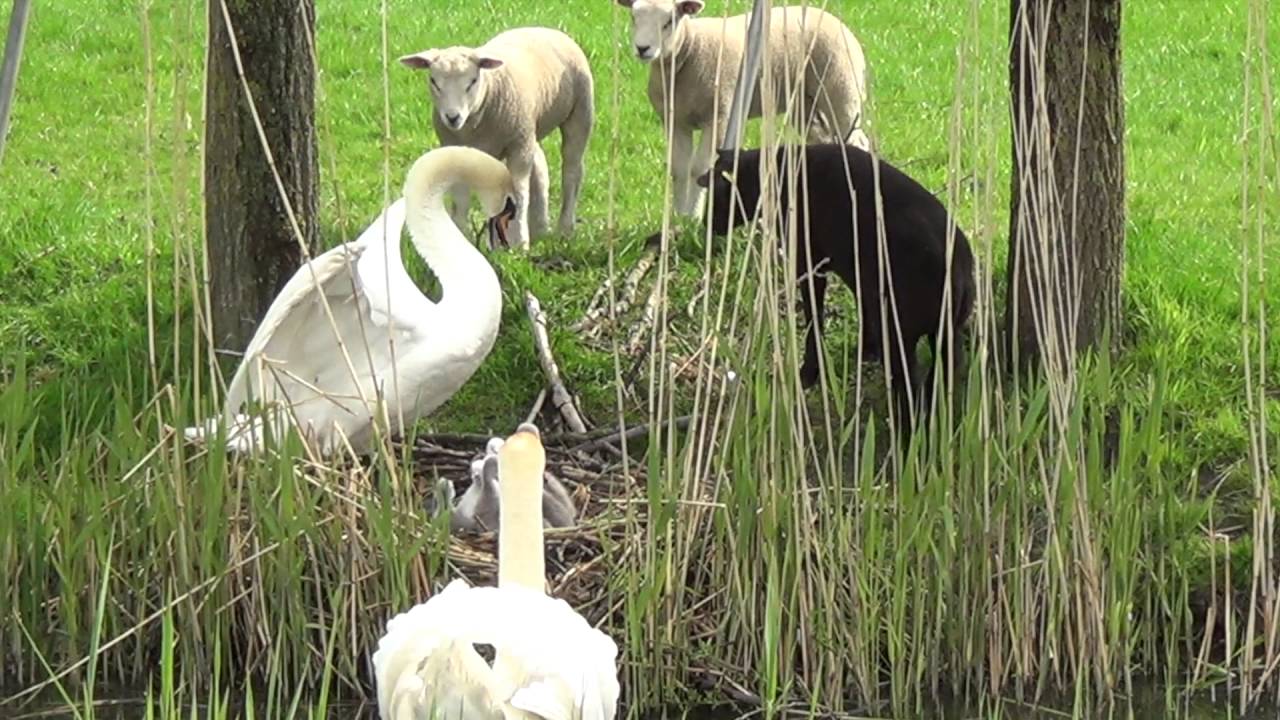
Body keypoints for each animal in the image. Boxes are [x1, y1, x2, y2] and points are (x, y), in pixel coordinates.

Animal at [400, 27, 595, 249]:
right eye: (434, 81)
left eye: (473, 81)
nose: (452, 117)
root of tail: (546, 28)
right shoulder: (457, 149)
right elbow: (461, 199)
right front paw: (463, 238)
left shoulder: (518, 146)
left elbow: (519, 192)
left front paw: (520, 243)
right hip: (529, 130)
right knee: (540, 167)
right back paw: (539, 229)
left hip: (579, 112)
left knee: (572, 171)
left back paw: (564, 229)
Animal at [618, 0, 869, 218]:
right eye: (633, 17)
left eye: (669, 21)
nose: (642, 48)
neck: (689, 48)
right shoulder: (676, 121)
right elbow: (679, 170)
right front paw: (681, 217)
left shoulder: (719, 117)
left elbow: (699, 169)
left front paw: (693, 218)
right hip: (803, 104)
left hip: (841, 89)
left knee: (857, 141)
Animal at [697, 143, 976, 435]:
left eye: (716, 195)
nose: (705, 224)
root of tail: (957, 271)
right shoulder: (859, 275)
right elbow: (861, 307)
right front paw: (866, 350)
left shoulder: (809, 264)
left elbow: (814, 319)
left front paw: (809, 372)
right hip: (944, 333)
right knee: (948, 370)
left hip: (899, 333)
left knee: (912, 383)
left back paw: (906, 431)